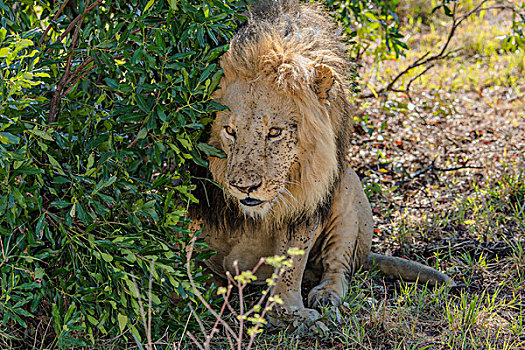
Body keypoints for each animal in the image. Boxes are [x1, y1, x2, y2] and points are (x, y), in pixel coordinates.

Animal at [189, 0, 454, 330]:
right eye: (230, 131)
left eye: (274, 132)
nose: (244, 187)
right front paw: (198, 294)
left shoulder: (308, 199)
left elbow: (292, 261)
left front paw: (289, 312)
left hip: (346, 186)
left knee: (338, 268)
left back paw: (326, 296)